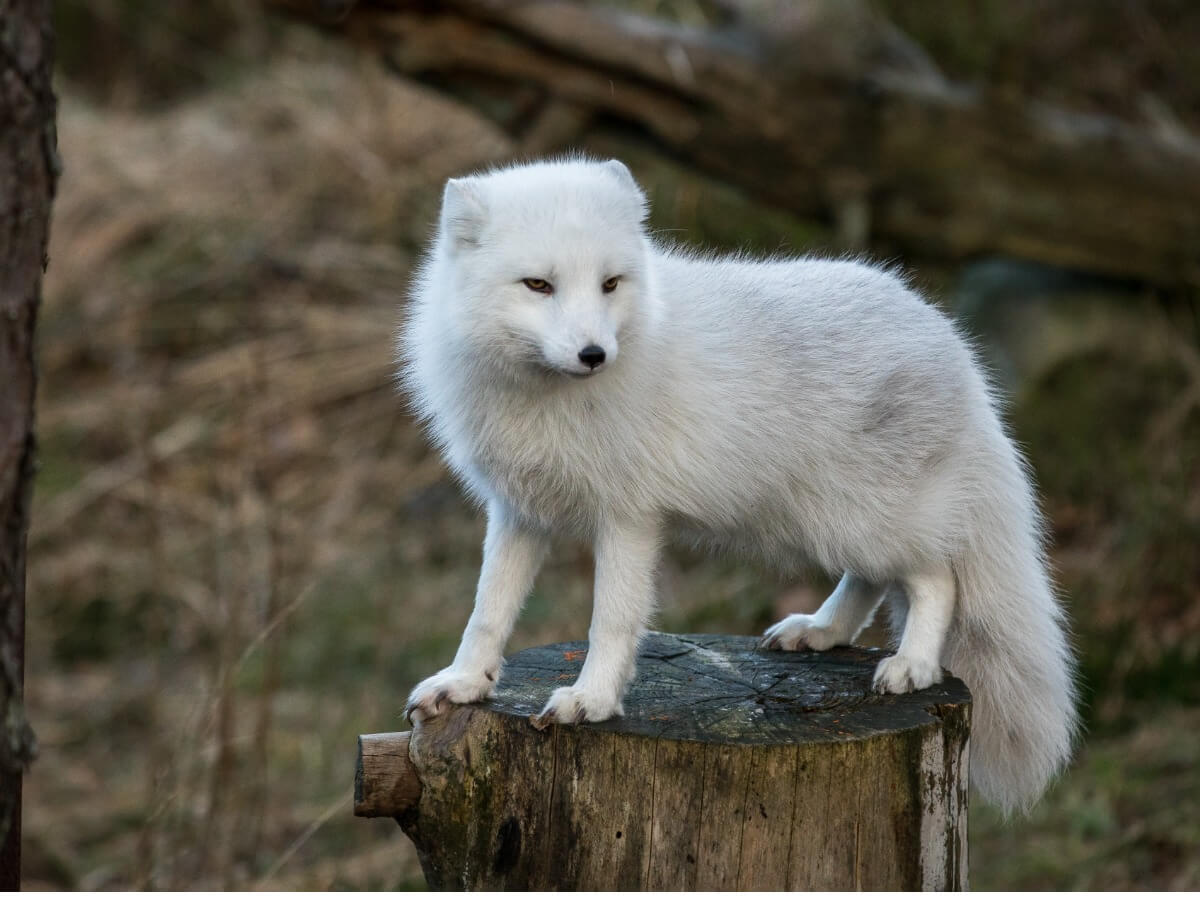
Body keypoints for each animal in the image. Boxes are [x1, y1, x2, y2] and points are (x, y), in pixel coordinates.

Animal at [398, 156, 1078, 814]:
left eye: (610, 284)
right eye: (538, 285)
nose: (595, 354)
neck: (544, 398)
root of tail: (954, 343)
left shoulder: (628, 517)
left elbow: (610, 620)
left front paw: (591, 700)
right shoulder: (518, 510)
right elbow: (487, 611)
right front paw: (464, 683)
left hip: (863, 519)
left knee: (938, 578)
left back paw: (912, 663)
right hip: (830, 522)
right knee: (875, 580)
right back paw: (822, 631)